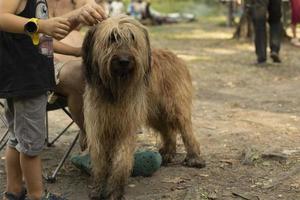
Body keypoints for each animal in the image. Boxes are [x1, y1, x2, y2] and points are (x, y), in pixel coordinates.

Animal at [82, 14, 205, 199]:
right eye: (112, 38)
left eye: (132, 38)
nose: (124, 61)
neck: (115, 89)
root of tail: (175, 56)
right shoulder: (98, 126)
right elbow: (99, 160)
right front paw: (97, 187)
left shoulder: (125, 126)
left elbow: (121, 159)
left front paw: (115, 190)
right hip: (155, 112)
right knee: (168, 131)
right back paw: (168, 153)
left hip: (175, 107)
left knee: (186, 130)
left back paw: (194, 158)